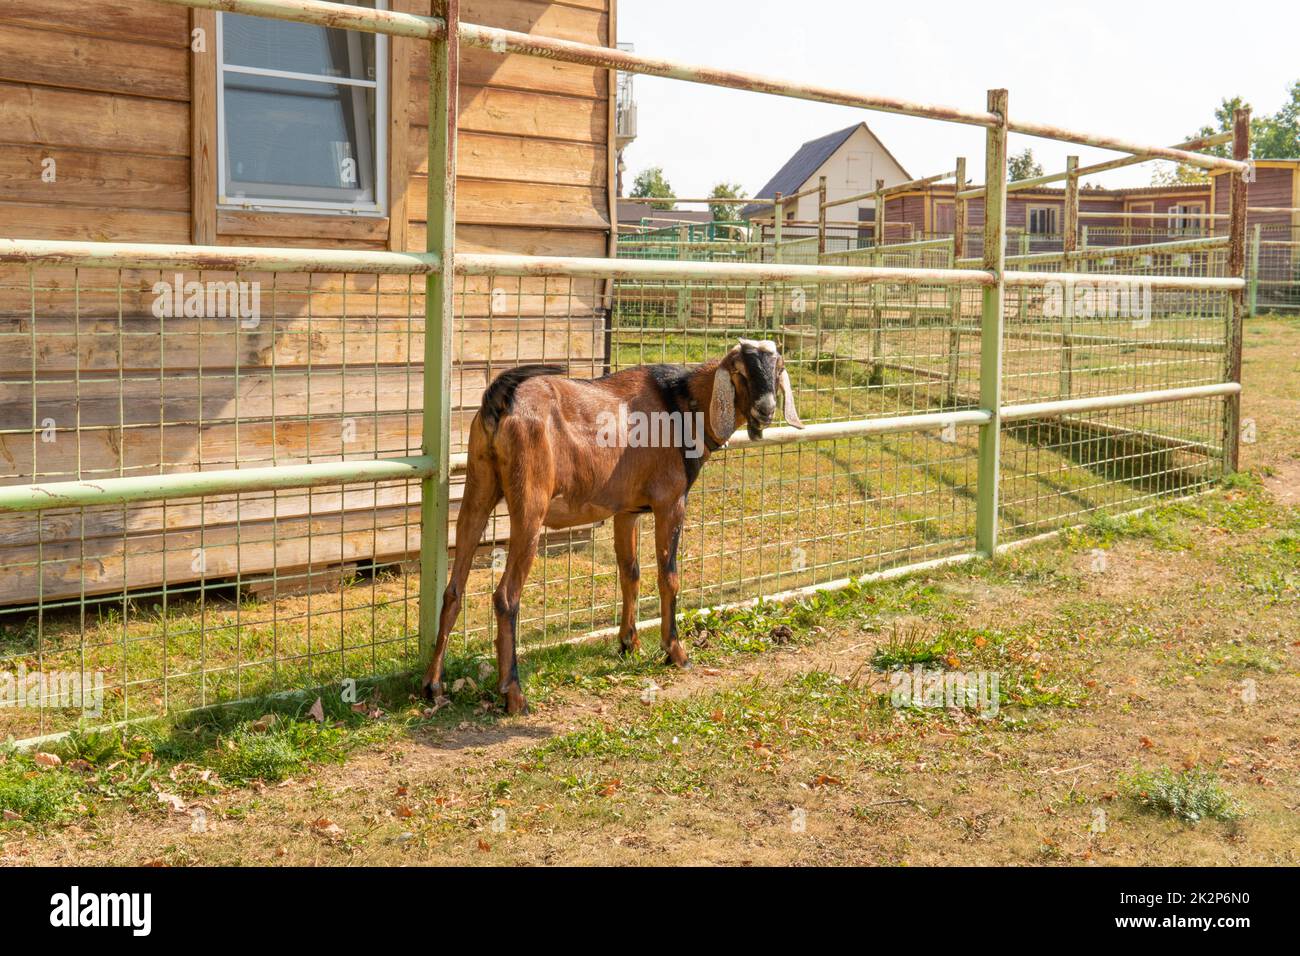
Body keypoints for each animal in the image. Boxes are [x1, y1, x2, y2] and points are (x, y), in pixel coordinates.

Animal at [421, 335, 800, 712]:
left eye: (778, 368)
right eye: (740, 372)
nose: (766, 410)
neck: (680, 406)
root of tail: (500, 402)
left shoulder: (626, 511)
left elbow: (630, 574)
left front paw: (628, 643)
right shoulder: (670, 502)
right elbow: (669, 577)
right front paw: (675, 652)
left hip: (478, 486)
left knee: (453, 589)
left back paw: (432, 685)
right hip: (529, 505)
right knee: (505, 596)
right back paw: (514, 694)